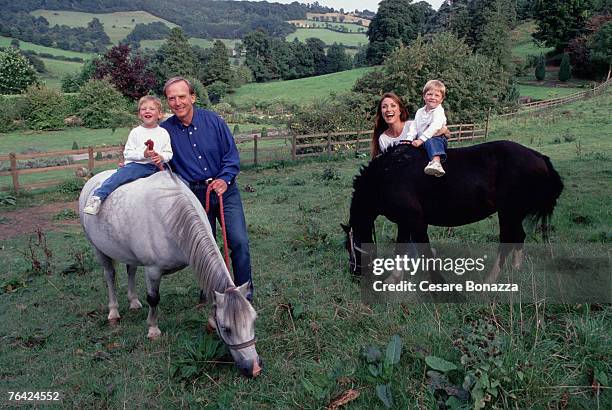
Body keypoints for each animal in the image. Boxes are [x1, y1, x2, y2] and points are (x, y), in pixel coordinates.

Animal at [80, 170, 262, 378]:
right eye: (226, 328)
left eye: (253, 320)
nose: (254, 368)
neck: (171, 216)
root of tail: (93, 180)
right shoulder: (152, 270)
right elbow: (153, 299)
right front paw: (153, 330)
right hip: (99, 250)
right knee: (110, 276)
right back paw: (113, 312)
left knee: (130, 270)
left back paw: (133, 302)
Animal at [342, 139, 560, 280]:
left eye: (348, 246)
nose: (354, 273)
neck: (388, 174)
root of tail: (538, 156)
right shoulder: (404, 223)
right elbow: (401, 249)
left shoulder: (416, 221)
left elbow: (423, 251)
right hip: (513, 214)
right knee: (518, 237)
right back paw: (515, 270)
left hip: (509, 212)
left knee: (507, 240)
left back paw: (490, 281)